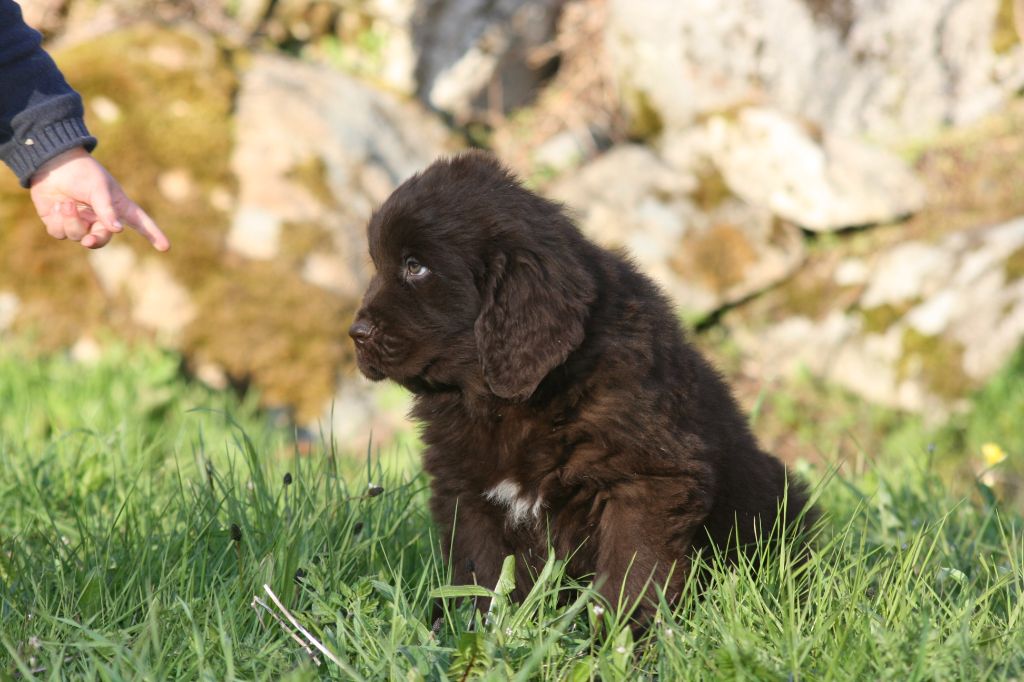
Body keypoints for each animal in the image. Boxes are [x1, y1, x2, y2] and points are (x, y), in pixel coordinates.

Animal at [348, 151, 811, 618]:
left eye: (415, 266)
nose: (355, 333)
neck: (507, 401)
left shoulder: (645, 483)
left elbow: (631, 572)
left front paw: (621, 634)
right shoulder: (466, 492)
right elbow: (480, 574)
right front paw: (470, 628)